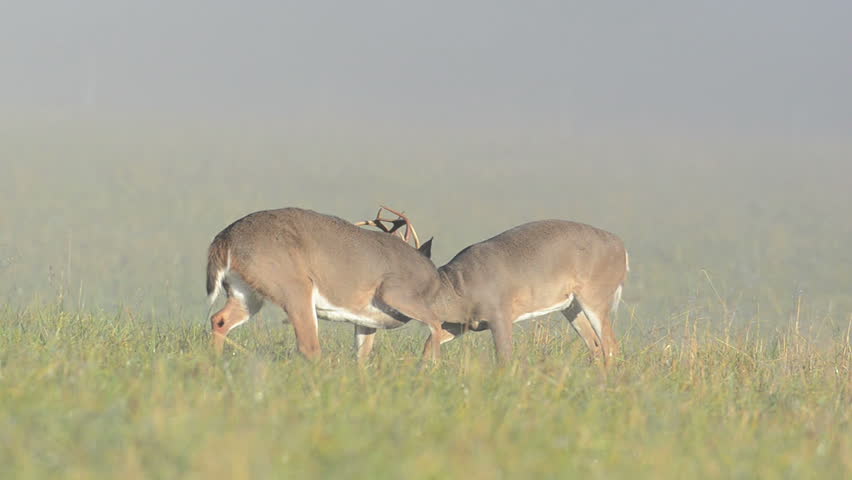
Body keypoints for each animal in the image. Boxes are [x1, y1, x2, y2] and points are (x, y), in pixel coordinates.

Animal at [205, 206, 444, 361]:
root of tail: (225, 239)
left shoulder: (366, 321)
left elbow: (362, 355)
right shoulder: (395, 294)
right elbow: (436, 325)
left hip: (246, 293)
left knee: (219, 320)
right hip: (295, 288)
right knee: (308, 346)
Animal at [355, 219, 629, 366]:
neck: (458, 289)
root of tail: (623, 248)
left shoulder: (500, 313)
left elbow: (504, 357)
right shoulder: (462, 324)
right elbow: (428, 346)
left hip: (596, 295)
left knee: (611, 346)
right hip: (571, 305)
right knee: (596, 346)